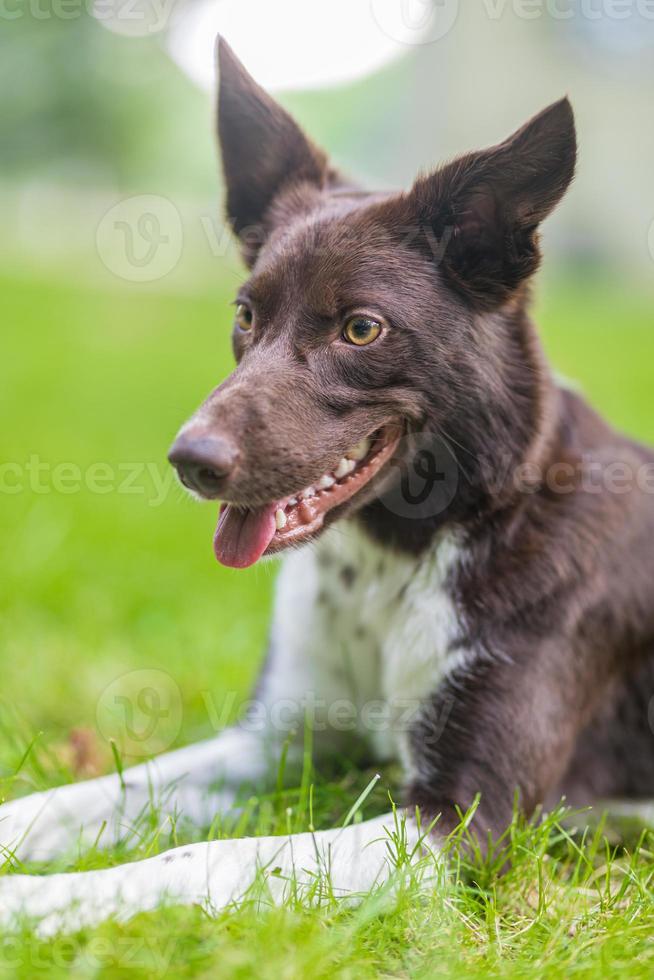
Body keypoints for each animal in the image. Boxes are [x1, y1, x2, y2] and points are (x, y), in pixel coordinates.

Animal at [1, 34, 654, 932]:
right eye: (245, 315)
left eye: (362, 328)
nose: (191, 462)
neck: (400, 558)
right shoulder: (274, 742)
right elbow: (94, 795)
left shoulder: (458, 825)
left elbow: (201, 860)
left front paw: (39, 903)